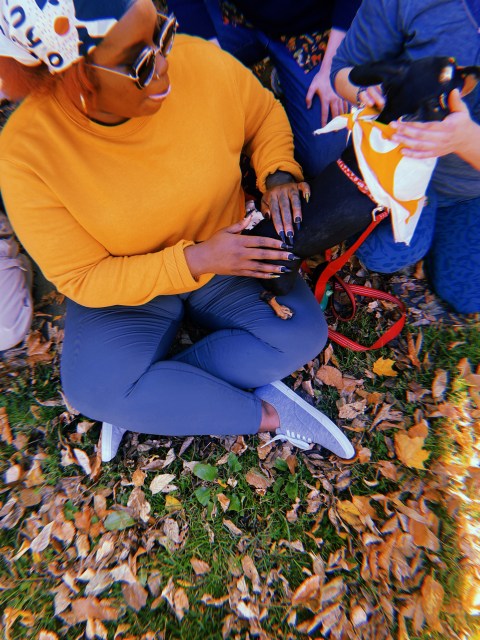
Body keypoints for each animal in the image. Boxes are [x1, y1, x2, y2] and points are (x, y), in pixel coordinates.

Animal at [248, 55, 480, 318]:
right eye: (455, 79)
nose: (476, 70)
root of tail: (253, 237)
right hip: (281, 277)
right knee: (266, 295)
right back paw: (281, 310)